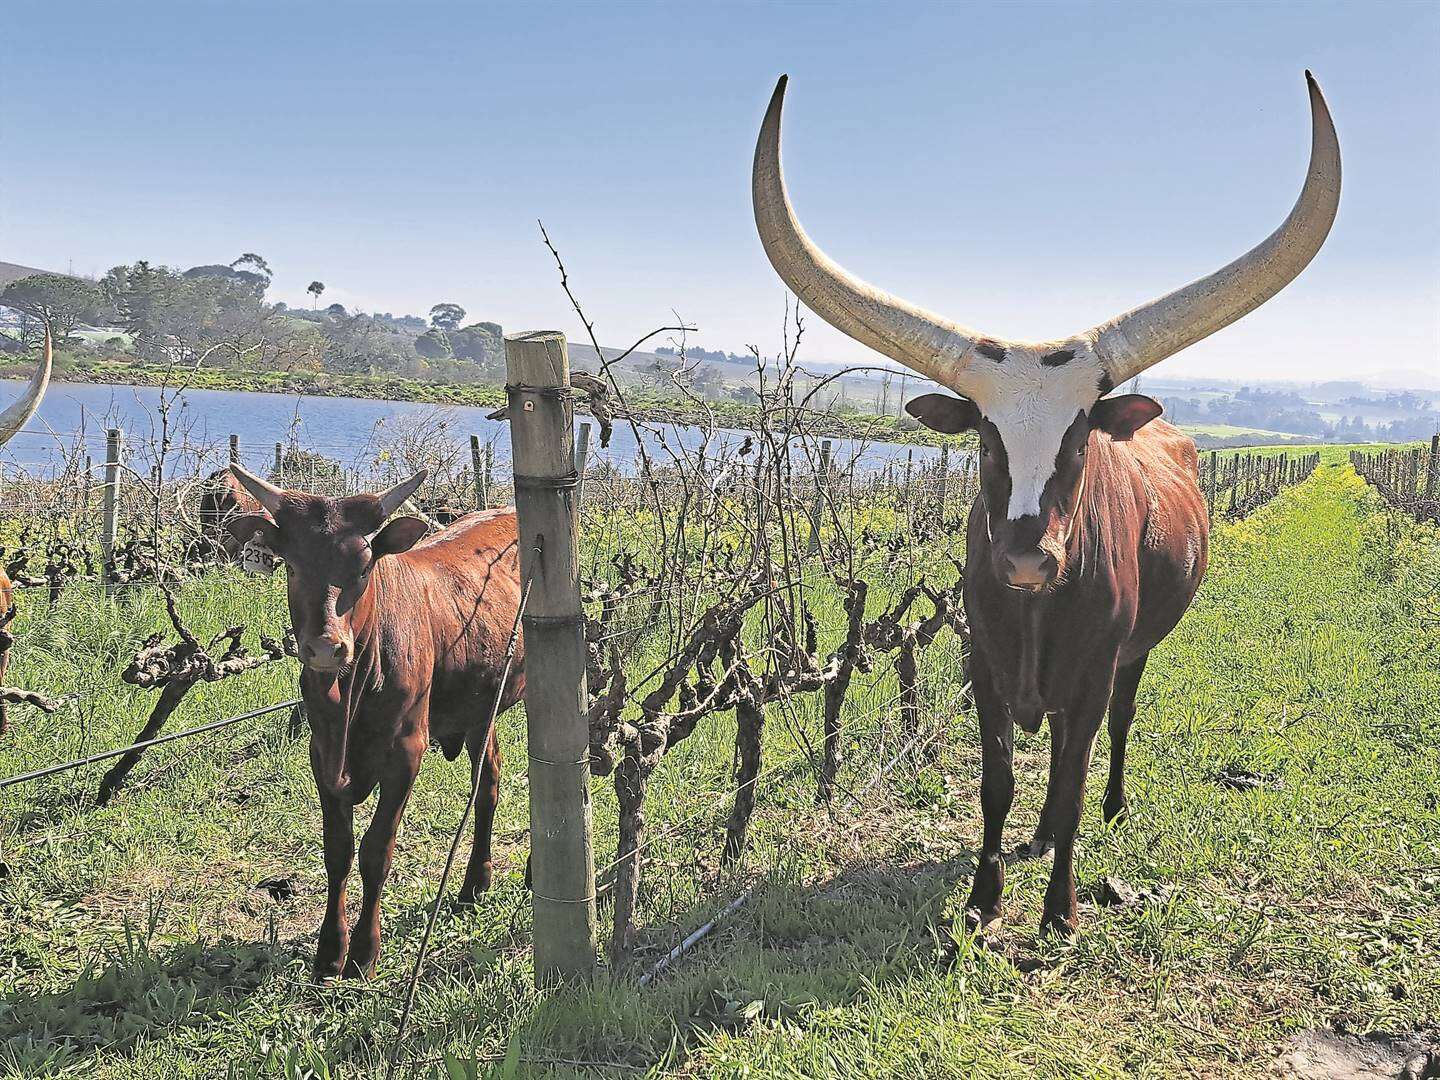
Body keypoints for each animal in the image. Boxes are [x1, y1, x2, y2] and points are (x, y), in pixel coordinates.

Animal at [221, 466, 521, 979]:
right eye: (292, 565)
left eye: (364, 568)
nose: (327, 648)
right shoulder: (322, 755)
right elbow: (338, 850)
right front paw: (330, 950)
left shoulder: (406, 753)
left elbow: (376, 850)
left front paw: (364, 951)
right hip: (480, 710)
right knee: (489, 781)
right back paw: (473, 886)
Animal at [754, 72, 1336, 933]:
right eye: (986, 437)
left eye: (1080, 435)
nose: (1029, 557)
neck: (1033, 611)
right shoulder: (985, 671)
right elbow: (998, 786)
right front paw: (983, 899)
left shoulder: (1092, 676)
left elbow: (1070, 783)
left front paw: (1060, 908)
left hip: (1133, 656)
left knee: (1112, 733)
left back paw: (1113, 808)